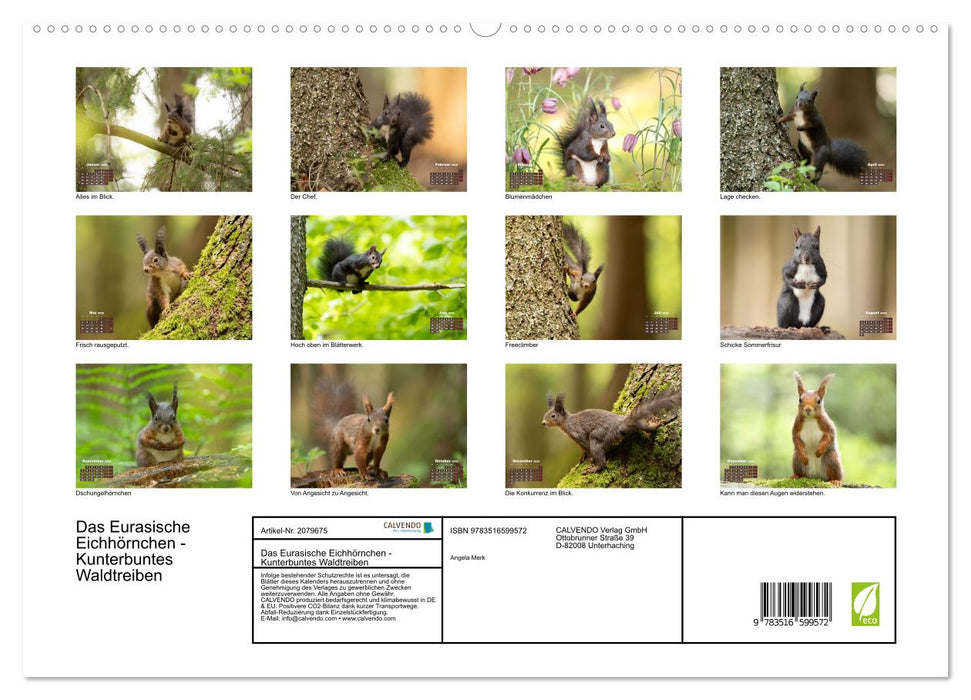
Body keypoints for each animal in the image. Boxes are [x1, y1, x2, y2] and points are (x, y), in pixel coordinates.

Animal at [542, 390, 681, 474]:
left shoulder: (578, 434)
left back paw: (595, 468)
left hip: (599, 436)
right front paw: (582, 458)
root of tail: (622, 424)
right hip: (638, 425)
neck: (565, 423)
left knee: (601, 460)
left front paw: (589, 459)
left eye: (553, 416)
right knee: (647, 428)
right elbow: (582, 450)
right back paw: (655, 424)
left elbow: (586, 447)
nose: (543, 423)